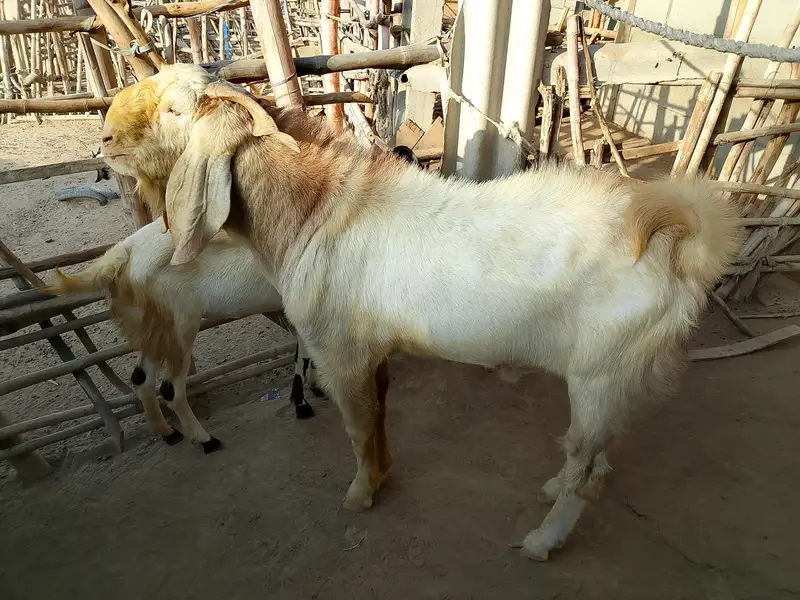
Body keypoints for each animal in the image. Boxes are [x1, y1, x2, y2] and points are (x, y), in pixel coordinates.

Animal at [46, 217, 323, 453]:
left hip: (157, 328)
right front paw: (303, 404)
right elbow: (304, 353)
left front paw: (314, 389)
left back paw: (169, 433)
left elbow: (307, 349)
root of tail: (124, 253)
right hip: (182, 326)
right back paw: (206, 440)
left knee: (141, 378)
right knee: (170, 388)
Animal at [98, 64, 743, 560]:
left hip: (600, 373)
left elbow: (358, 428)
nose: (103, 139)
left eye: (175, 110)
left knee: (591, 476)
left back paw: (541, 540)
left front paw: (361, 494)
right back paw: (552, 484)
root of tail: (680, 249)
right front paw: (383, 473)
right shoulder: (373, 351)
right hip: (610, 383)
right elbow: (380, 416)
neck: (315, 213)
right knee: (594, 458)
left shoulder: (338, 350)